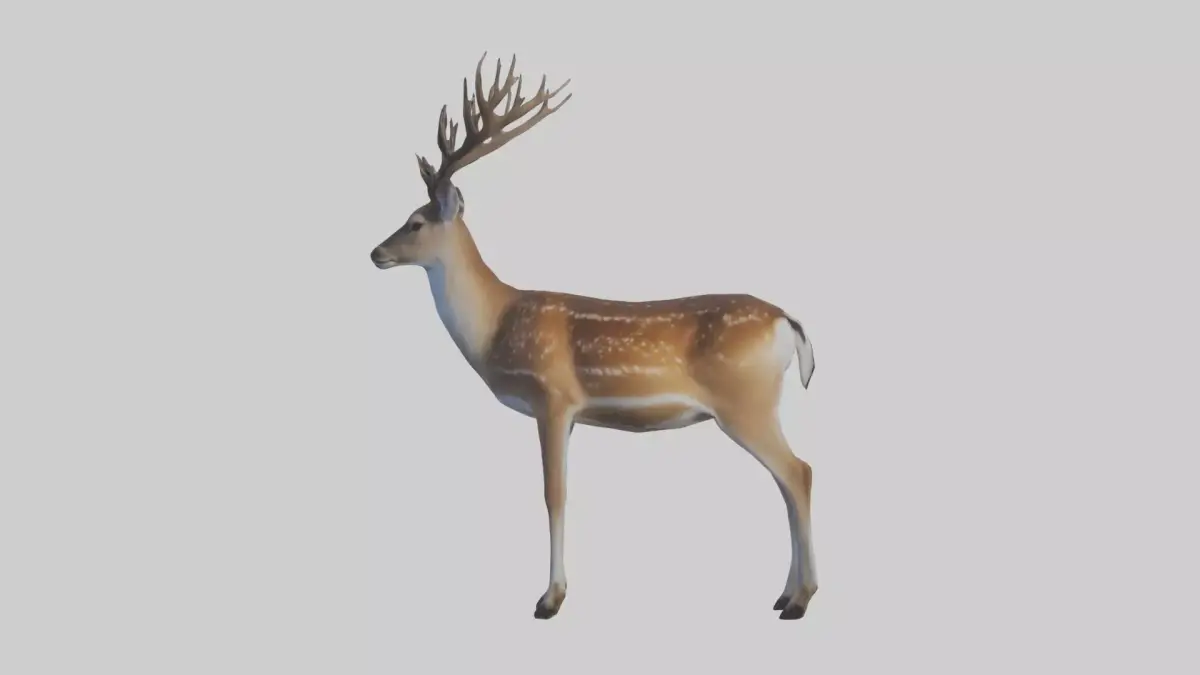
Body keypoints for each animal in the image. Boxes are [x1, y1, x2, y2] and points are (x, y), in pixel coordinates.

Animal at [370, 53, 818, 620]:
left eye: (414, 222)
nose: (374, 252)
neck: (495, 324)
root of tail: (788, 321)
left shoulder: (552, 396)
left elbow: (553, 494)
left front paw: (549, 599)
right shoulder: (569, 413)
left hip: (746, 399)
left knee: (799, 472)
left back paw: (801, 599)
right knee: (786, 481)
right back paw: (783, 595)